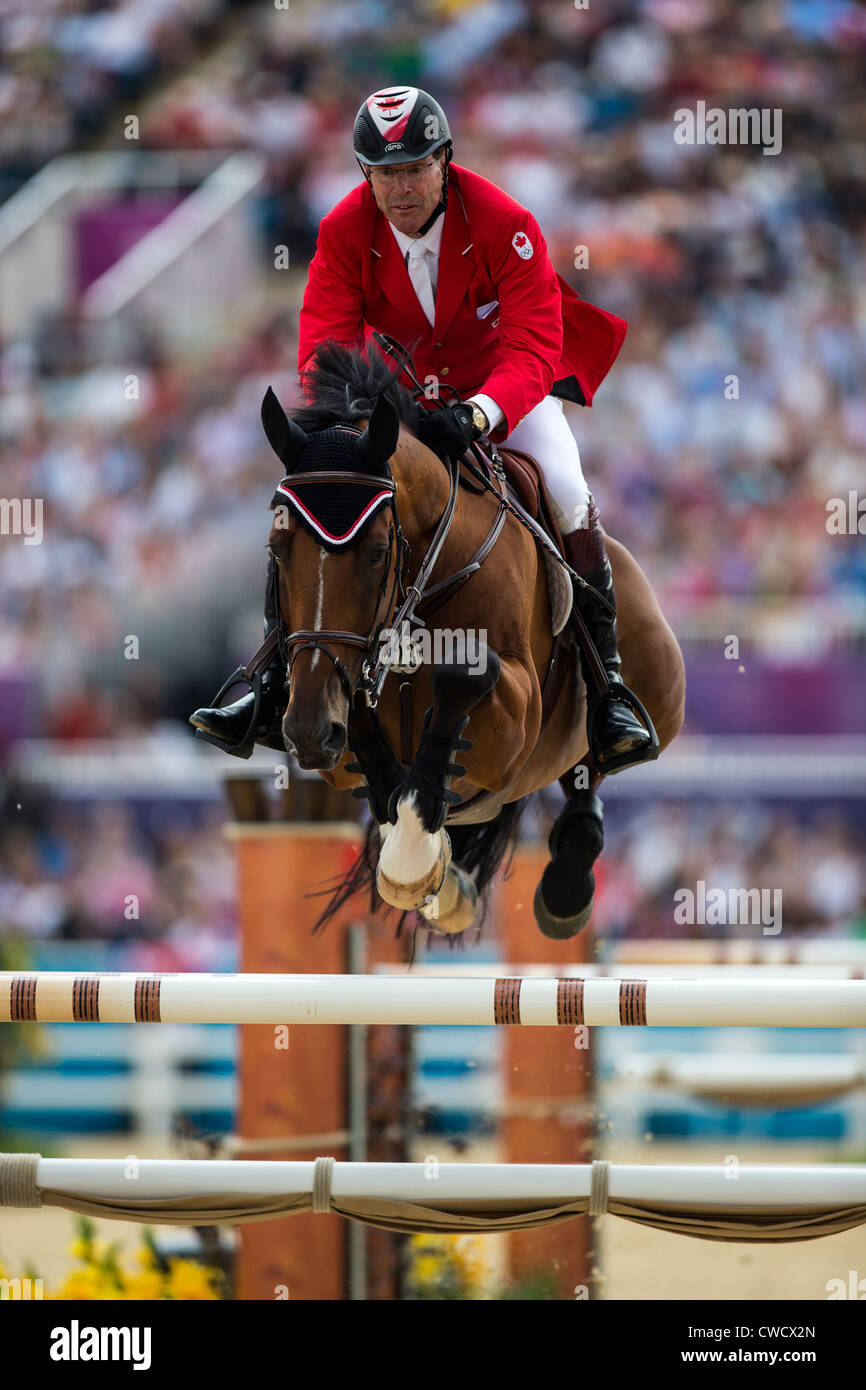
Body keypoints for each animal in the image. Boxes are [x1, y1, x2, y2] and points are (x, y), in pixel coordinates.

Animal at [261, 341, 686, 939]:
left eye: (376, 552)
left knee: (590, 777)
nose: (308, 728)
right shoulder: (335, 735)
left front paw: (414, 853)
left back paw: (565, 887)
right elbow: (371, 746)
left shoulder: (515, 716)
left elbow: (468, 670)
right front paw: (417, 851)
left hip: (655, 694)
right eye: (277, 550)